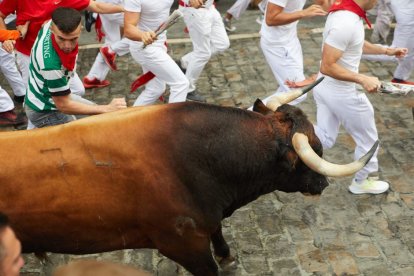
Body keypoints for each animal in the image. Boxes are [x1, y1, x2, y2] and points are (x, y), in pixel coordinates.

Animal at [0, 82, 376, 274]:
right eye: (314, 149)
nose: (323, 184)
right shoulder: (183, 244)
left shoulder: (207, 221)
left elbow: (218, 231)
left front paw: (228, 256)